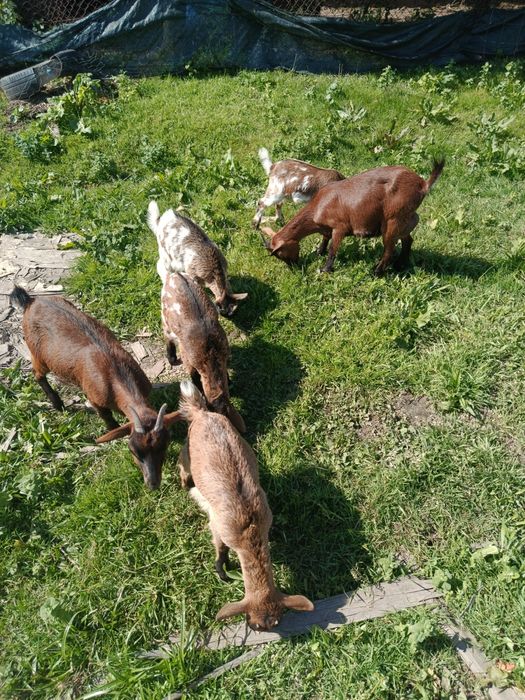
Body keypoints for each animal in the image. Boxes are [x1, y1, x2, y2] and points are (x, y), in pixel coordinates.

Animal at [10, 286, 181, 490]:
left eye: (164, 445)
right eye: (133, 450)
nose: (152, 484)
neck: (116, 375)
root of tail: (31, 301)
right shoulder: (95, 398)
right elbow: (107, 417)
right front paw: (113, 431)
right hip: (38, 353)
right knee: (37, 374)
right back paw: (57, 404)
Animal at [161, 271, 245, 433]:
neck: (210, 353)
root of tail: (175, 274)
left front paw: (230, 381)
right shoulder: (189, 361)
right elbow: (194, 377)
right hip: (165, 318)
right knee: (168, 336)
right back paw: (171, 358)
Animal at [177, 380, 314, 631]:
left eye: (276, 621)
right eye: (254, 625)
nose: (264, 632)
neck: (250, 530)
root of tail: (202, 413)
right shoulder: (218, 525)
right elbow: (220, 546)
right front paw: (222, 570)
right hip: (188, 448)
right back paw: (184, 483)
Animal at [260, 160, 444, 276]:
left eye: (280, 254)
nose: (294, 266)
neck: (318, 206)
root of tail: (422, 185)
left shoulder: (340, 227)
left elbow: (333, 250)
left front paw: (325, 269)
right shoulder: (327, 228)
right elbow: (325, 239)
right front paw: (319, 252)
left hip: (393, 220)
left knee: (389, 249)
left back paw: (376, 272)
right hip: (404, 220)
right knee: (408, 241)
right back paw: (400, 265)